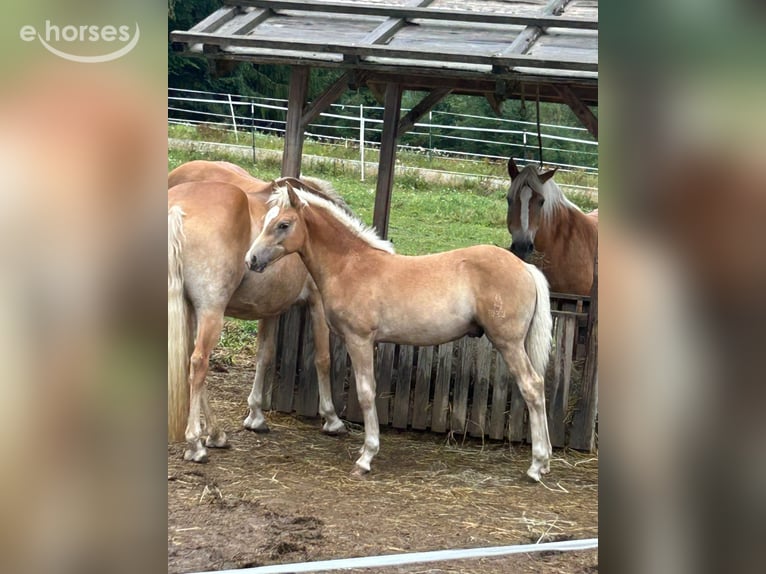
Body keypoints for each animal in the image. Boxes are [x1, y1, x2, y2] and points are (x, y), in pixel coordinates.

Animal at [168, 160, 349, 463]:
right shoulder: (317, 304)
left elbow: (265, 355)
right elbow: (322, 359)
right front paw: (332, 418)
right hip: (211, 311)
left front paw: (255, 416)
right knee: (199, 363)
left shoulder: (269, 311)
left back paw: (216, 434)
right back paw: (196, 443)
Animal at [246, 184, 555, 481]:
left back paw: (536, 465)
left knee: (532, 386)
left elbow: (366, 392)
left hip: (509, 343)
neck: (350, 266)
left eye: (283, 224)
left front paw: (366, 457)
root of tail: (525, 267)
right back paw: (544, 462)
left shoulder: (359, 339)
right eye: (268, 220)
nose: (251, 259)